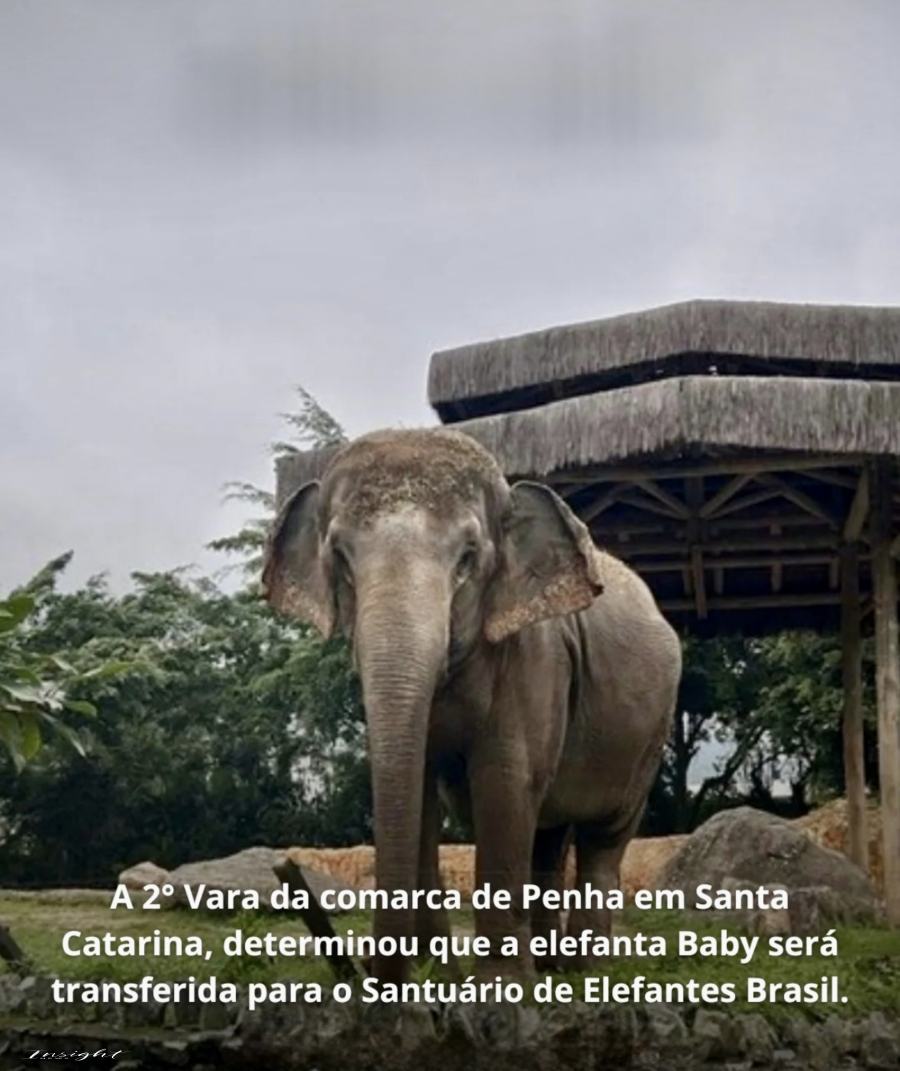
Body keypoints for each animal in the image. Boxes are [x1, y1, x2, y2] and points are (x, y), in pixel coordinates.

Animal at [262, 426, 682, 985]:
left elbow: (505, 781)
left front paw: (498, 987)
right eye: (341, 560)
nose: (368, 970)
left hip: (649, 739)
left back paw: (580, 972)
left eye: (466, 559)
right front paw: (437, 974)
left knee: (602, 840)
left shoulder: (536, 657)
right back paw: (549, 968)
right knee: (549, 836)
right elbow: (418, 785)